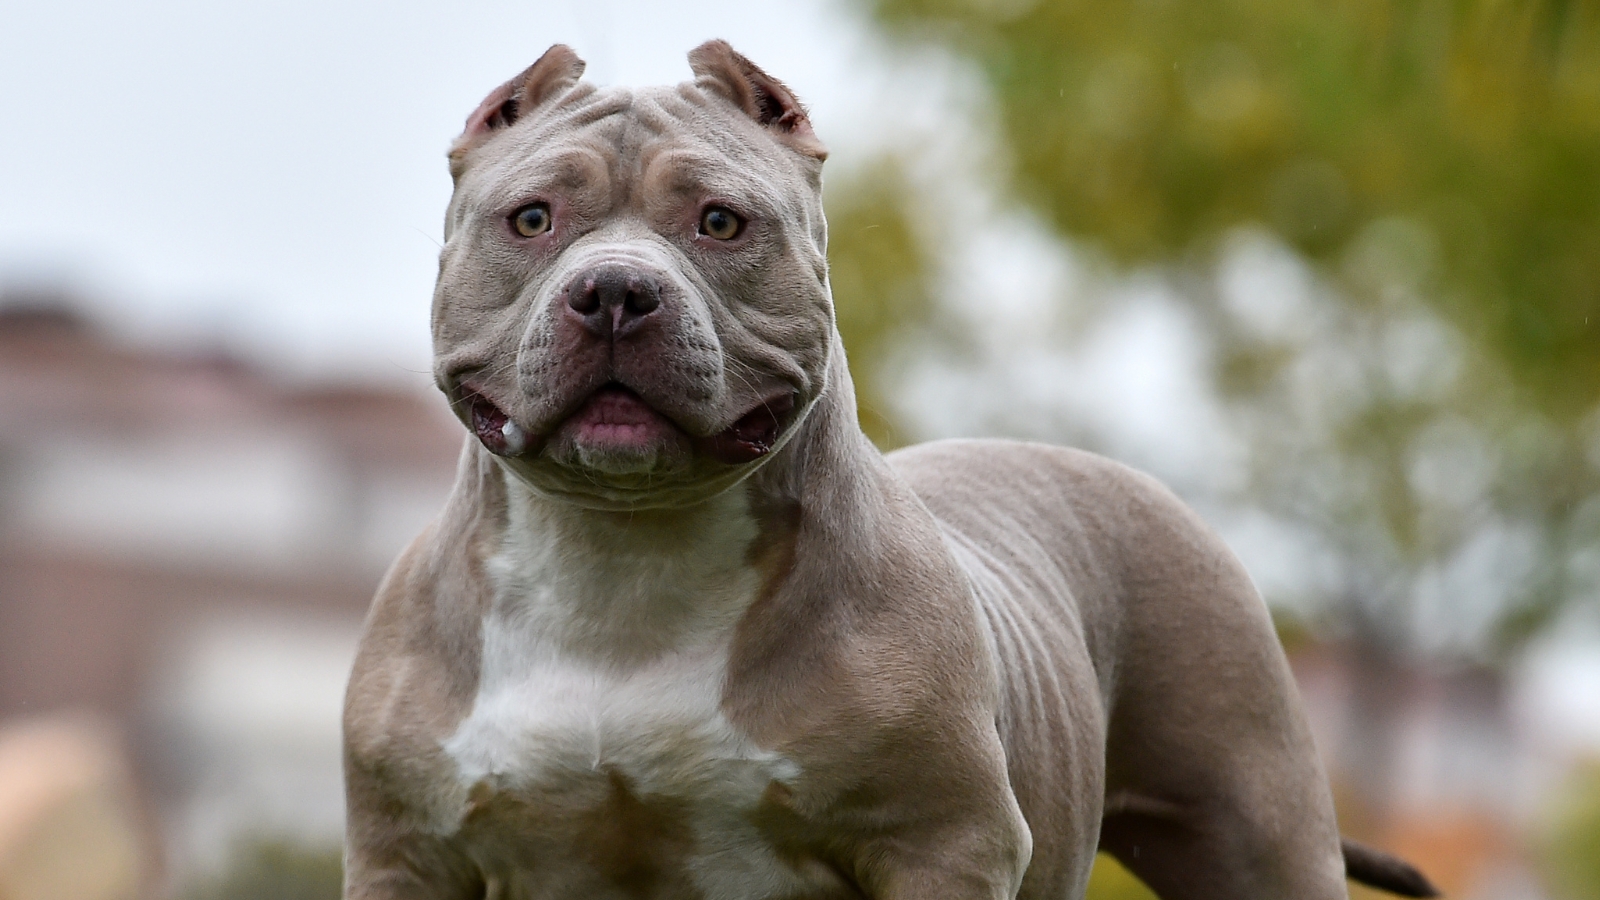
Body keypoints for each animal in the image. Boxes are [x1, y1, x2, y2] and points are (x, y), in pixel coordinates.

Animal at [344, 38, 1446, 890]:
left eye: (719, 222)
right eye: (532, 219)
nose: (615, 291)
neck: (621, 563)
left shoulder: (942, 843)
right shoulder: (406, 857)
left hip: (1255, 824)